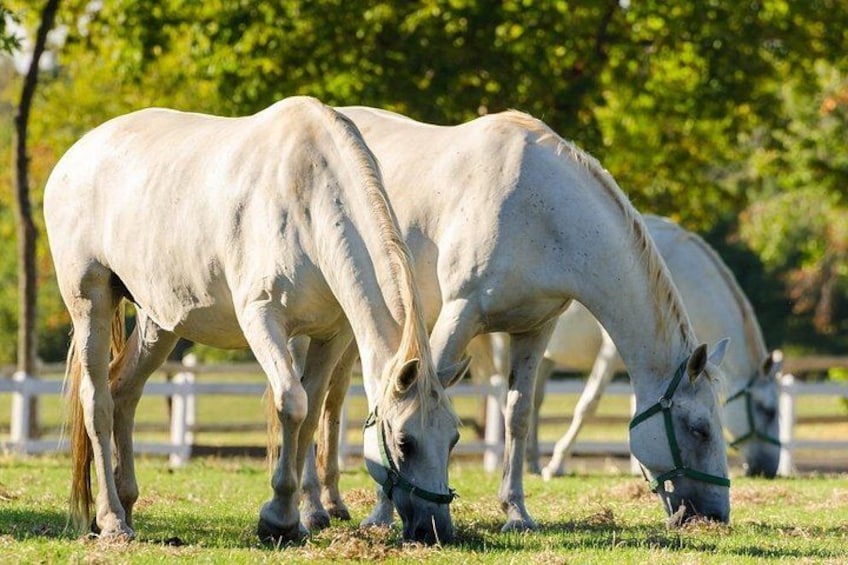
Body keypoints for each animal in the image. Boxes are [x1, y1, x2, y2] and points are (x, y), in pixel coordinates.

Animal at [43, 97, 463, 545]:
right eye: (405, 441)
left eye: (453, 438)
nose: (434, 529)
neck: (308, 199)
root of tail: (75, 157)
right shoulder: (262, 319)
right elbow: (292, 403)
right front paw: (278, 518)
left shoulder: (331, 334)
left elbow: (311, 413)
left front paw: (295, 518)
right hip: (91, 303)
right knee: (98, 402)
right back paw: (112, 520)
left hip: (161, 323)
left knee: (125, 392)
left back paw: (127, 503)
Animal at [302, 106, 732, 533]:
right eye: (700, 428)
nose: (717, 514)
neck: (538, 211)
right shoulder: (459, 315)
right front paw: (381, 515)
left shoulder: (535, 329)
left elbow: (519, 415)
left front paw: (516, 512)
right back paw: (314, 506)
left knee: (330, 400)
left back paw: (332, 502)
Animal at [520, 215, 783, 481]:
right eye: (768, 411)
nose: (769, 470)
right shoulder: (614, 351)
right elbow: (588, 404)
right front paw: (557, 464)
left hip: (545, 355)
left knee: (535, 400)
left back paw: (532, 463)